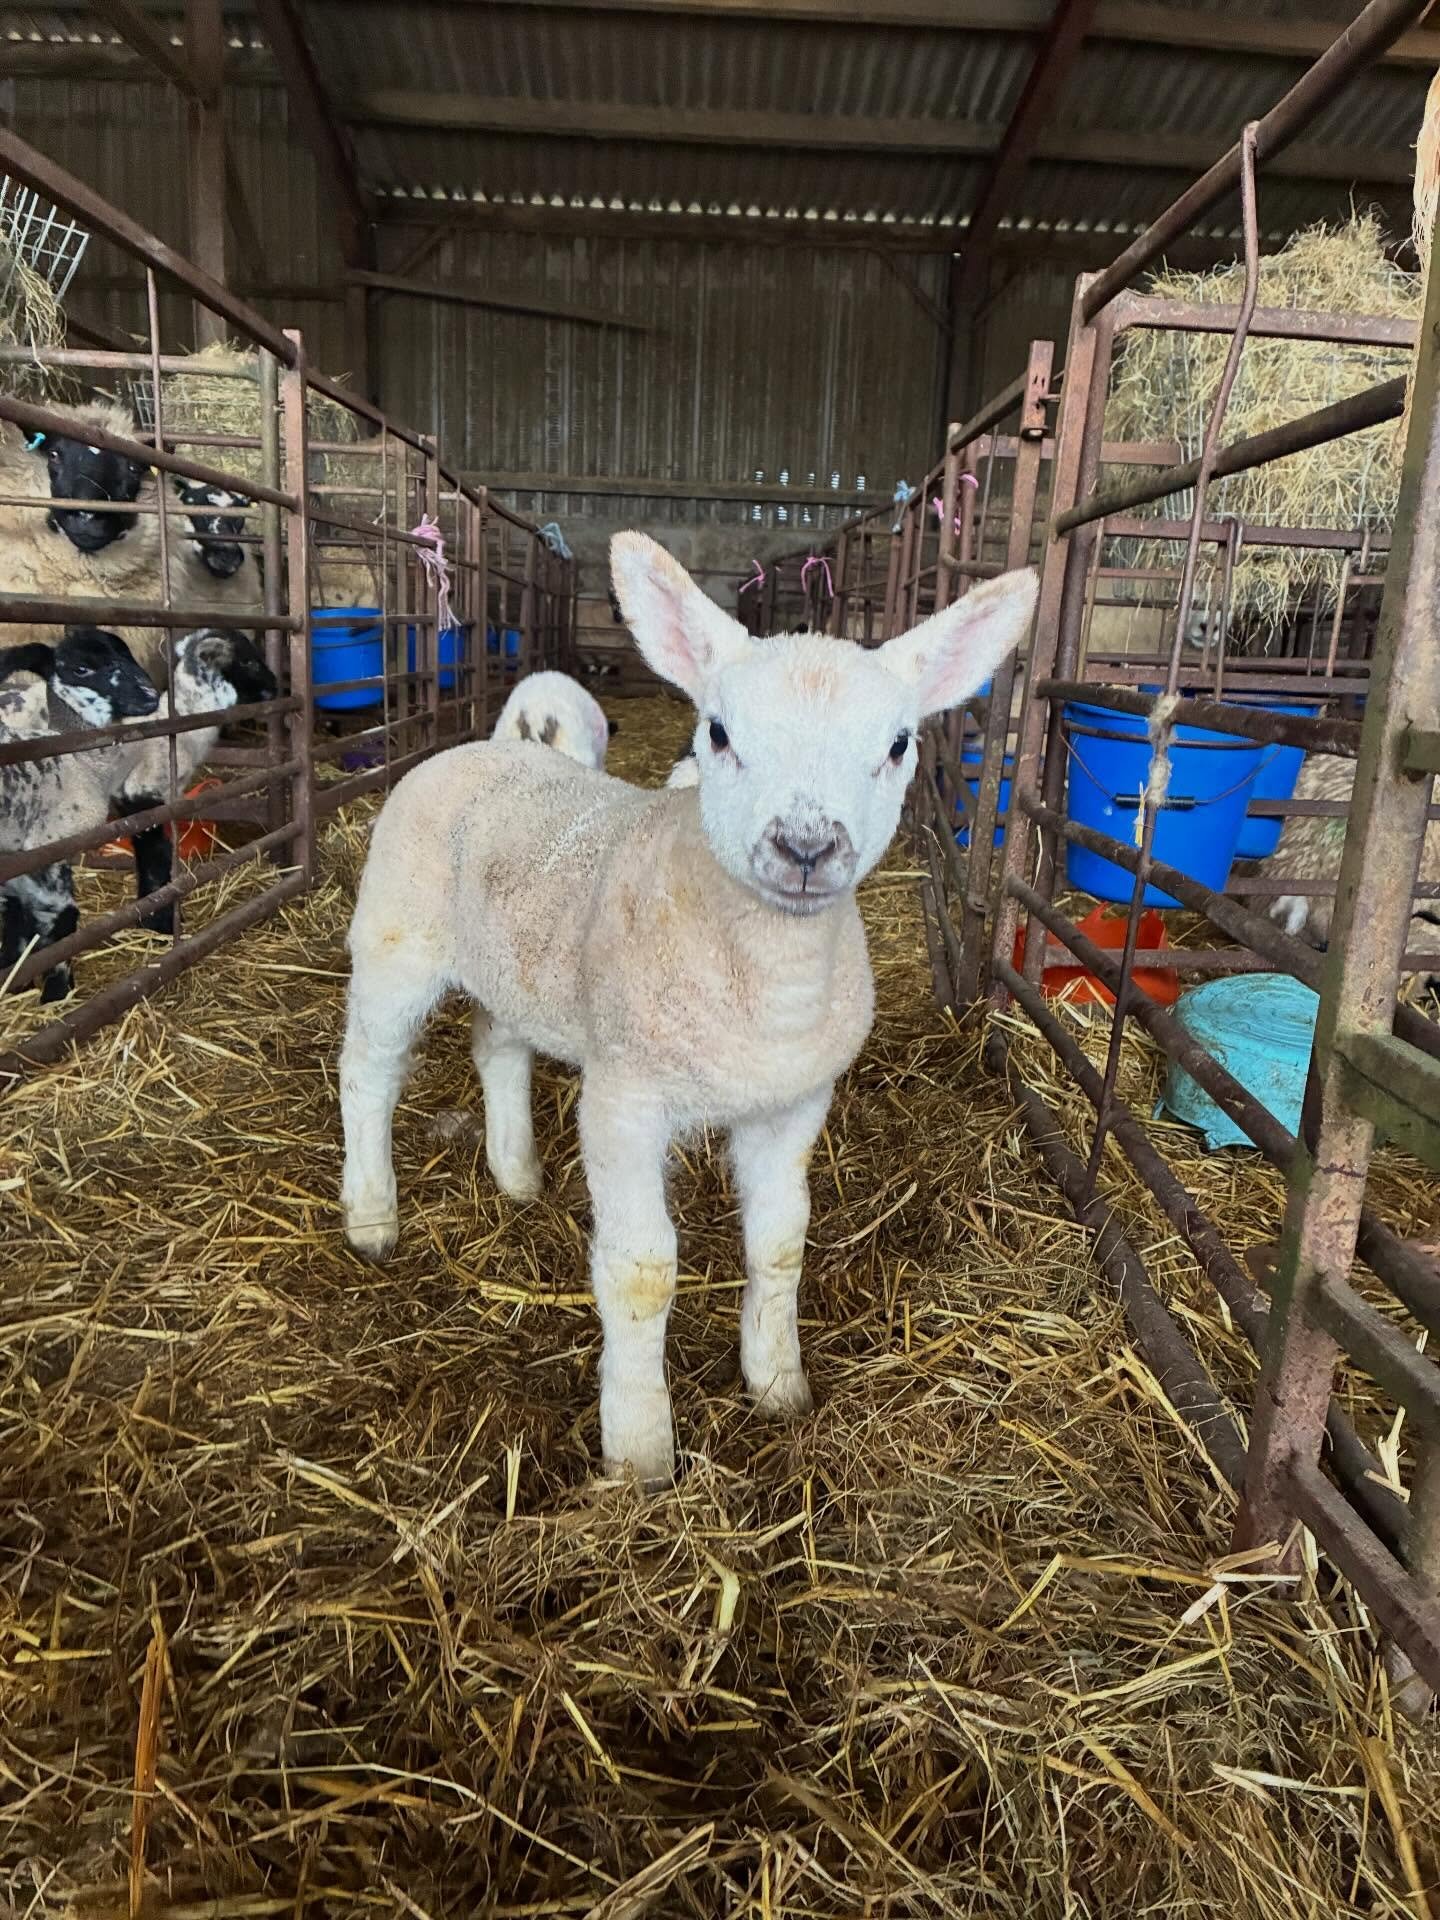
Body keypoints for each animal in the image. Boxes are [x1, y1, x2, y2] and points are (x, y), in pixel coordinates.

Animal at [1, 628, 161, 1001]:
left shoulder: (18, 854)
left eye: (127, 653)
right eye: (81, 669)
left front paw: (17, 979)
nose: (150, 695)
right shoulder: (47, 845)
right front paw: (56, 992)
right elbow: (60, 917)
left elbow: (20, 916)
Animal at [339, 533, 1037, 1481]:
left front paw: (778, 1387)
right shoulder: (625, 1101)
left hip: (517, 958)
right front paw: (639, 1452)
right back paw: (372, 1214)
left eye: (899, 744)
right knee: (368, 1073)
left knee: (498, 1046)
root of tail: (495, 745)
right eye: (718, 732)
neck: (767, 985)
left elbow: (781, 1243)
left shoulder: (794, 1104)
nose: (806, 846)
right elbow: (641, 1271)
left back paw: (516, 1174)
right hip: (395, 941)